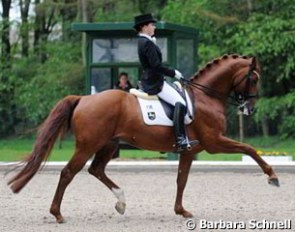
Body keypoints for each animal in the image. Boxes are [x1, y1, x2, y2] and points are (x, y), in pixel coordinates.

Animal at [6, 54, 280, 223]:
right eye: (253, 78)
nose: (250, 109)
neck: (206, 97)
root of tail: (84, 98)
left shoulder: (190, 151)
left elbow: (181, 180)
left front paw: (181, 210)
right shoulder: (214, 142)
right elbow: (249, 148)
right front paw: (272, 177)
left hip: (108, 144)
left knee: (96, 170)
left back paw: (121, 202)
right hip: (88, 145)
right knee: (68, 173)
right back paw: (58, 214)